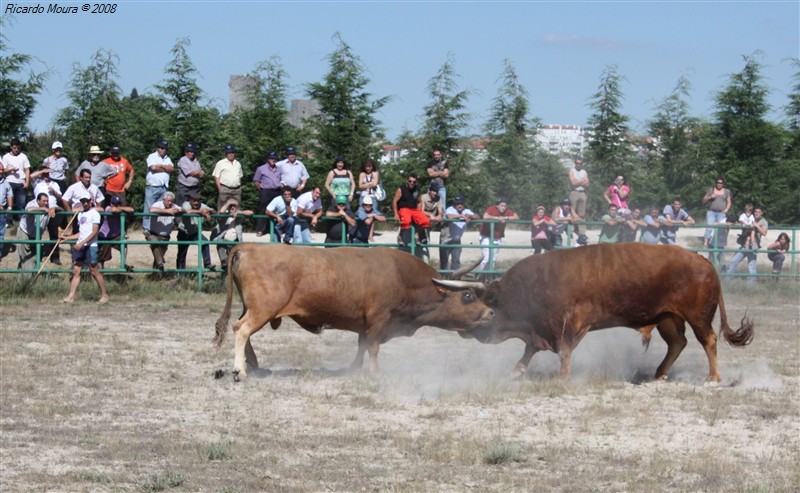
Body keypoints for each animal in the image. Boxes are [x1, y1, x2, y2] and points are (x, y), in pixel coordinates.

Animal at [216, 244, 496, 378]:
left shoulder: (365, 324)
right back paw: (240, 370)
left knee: (243, 330)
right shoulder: (379, 319)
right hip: (263, 309)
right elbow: (373, 347)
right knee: (242, 330)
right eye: (468, 296)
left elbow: (361, 345)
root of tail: (250, 247)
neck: (402, 277)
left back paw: (252, 364)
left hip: (253, 308)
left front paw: (353, 368)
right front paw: (375, 372)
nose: (492, 313)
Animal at [440, 242, 752, 380]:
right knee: (678, 342)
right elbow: (530, 349)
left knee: (708, 340)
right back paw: (660, 373)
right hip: (667, 318)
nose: (461, 330)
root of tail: (704, 261)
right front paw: (518, 369)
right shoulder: (540, 328)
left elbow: (564, 351)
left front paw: (563, 376)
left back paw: (713, 378)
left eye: (468, 296)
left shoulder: (566, 324)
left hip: (698, 316)